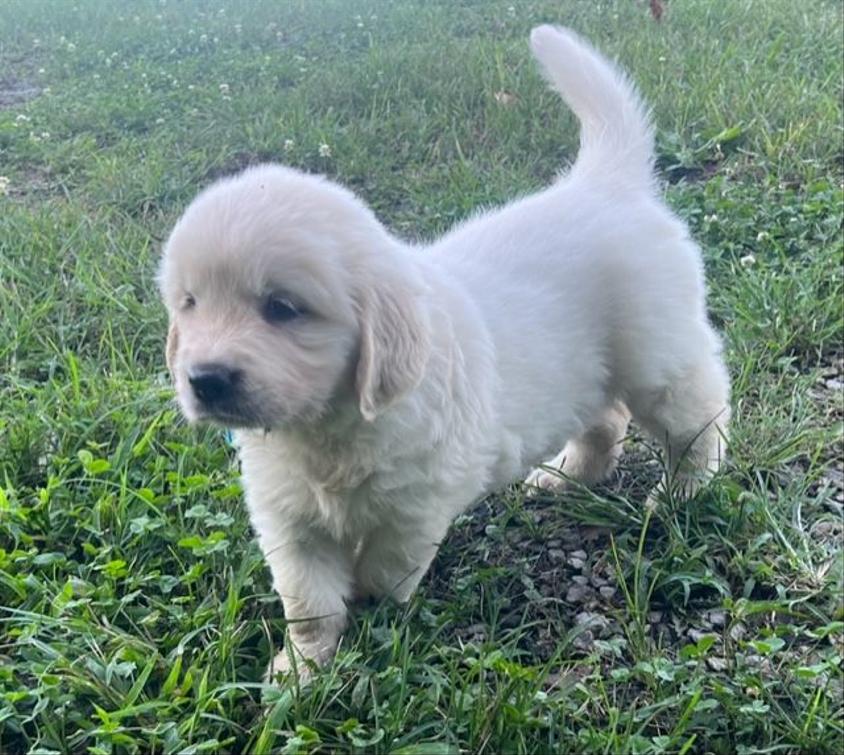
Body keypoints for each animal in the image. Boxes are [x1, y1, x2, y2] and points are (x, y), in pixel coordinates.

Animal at [160, 28, 732, 680]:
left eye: (281, 308)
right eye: (189, 303)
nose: (205, 379)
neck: (329, 429)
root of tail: (604, 181)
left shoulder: (416, 507)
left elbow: (384, 571)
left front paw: (370, 617)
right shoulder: (289, 518)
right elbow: (308, 600)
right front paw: (303, 670)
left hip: (658, 358)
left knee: (700, 417)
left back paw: (682, 491)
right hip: (587, 371)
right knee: (605, 419)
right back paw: (565, 475)